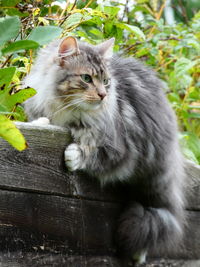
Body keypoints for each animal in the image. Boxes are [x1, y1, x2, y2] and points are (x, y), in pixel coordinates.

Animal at [24, 35, 187, 266]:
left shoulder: (121, 152)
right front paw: (42, 124)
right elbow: (44, 121)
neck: (65, 108)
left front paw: (74, 155)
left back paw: (139, 254)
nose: (103, 95)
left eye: (106, 81)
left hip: (154, 177)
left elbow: (91, 152)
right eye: (86, 78)